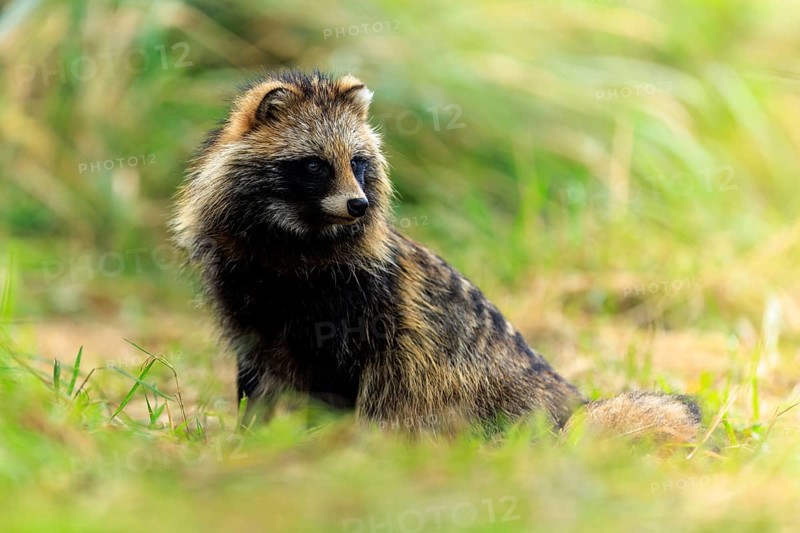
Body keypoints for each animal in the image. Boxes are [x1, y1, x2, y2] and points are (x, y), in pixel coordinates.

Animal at [173, 71, 701, 442]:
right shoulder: (243, 295)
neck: (296, 242)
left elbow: (361, 372)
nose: (359, 205)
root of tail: (564, 403)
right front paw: (252, 433)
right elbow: (257, 370)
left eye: (358, 163)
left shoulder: (364, 303)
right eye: (314, 166)